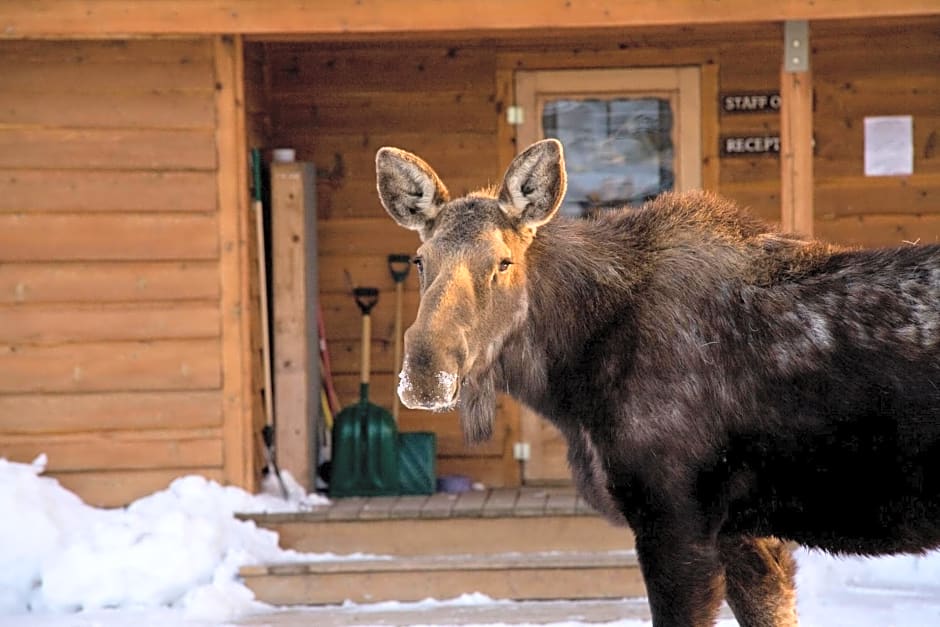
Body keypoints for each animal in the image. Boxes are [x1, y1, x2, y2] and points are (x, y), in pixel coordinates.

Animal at [374, 140, 940, 624]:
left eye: (503, 262)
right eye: (420, 260)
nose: (425, 374)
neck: (571, 388)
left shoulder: (674, 516)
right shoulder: (745, 534)